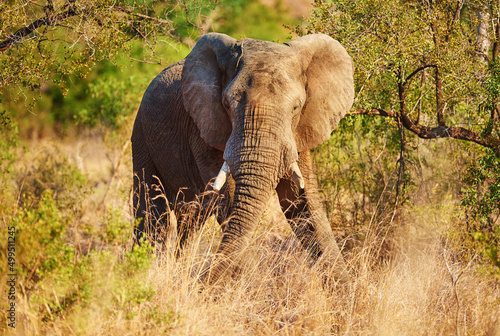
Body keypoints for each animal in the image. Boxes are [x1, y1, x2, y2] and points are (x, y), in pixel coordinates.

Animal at [131, 31, 354, 284]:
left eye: (297, 107)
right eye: (227, 104)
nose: (202, 281)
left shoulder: (299, 132)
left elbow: (300, 203)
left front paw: (346, 290)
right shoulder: (203, 127)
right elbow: (228, 201)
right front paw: (252, 283)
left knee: (190, 217)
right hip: (141, 133)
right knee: (151, 212)